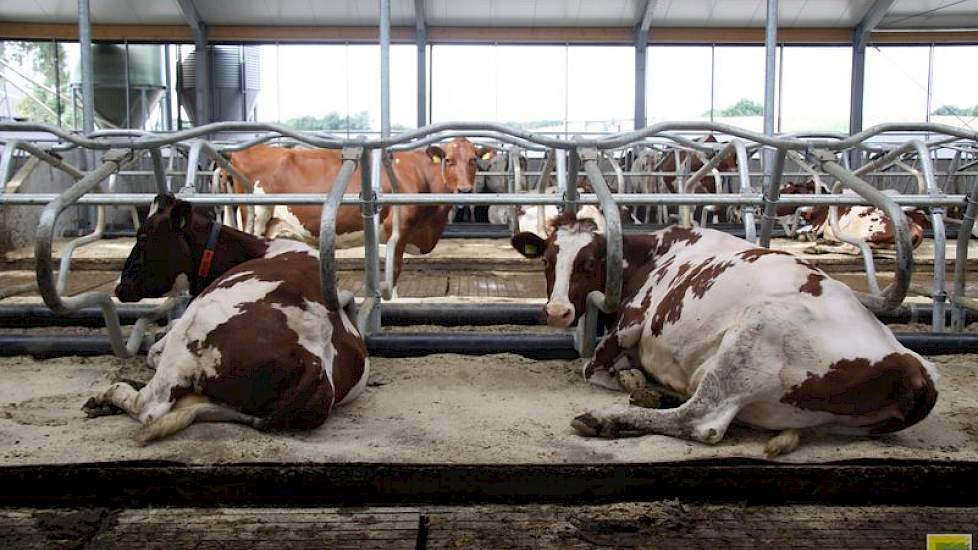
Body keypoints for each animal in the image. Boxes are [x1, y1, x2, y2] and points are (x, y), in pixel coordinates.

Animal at [82, 194, 366, 444]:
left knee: (150, 406)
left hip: (194, 326)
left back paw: (110, 394)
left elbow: (153, 352)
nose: (119, 287)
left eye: (142, 237)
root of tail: (314, 361)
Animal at [225, 138, 492, 286]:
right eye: (448, 159)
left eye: (474, 160)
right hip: (256, 219)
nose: (465, 190)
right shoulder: (398, 231)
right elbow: (394, 272)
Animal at [510, 218, 936, 460]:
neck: (656, 256)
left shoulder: (629, 325)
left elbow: (595, 369)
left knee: (702, 419)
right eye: (547, 260)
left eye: (589, 263)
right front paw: (636, 380)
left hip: (754, 333)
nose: (557, 311)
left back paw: (606, 418)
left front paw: (627, 381)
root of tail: (910, 365)